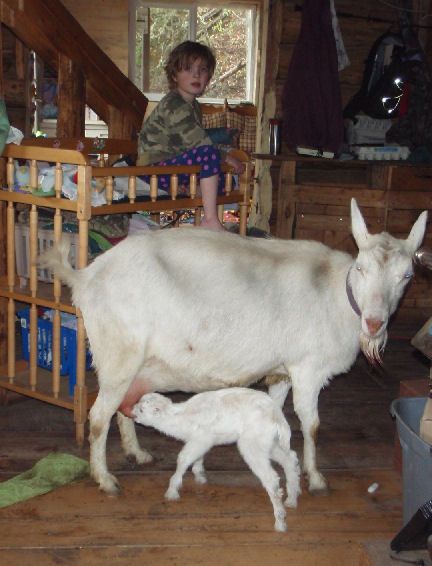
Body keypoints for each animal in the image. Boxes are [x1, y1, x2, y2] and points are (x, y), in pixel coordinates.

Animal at [38, 199, 426, 496]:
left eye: (407, 275)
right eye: (361, 268)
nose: (374, 323)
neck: (334, 293)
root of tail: (87, 277)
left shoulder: (281, 371)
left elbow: (276, 414)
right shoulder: (307, 368)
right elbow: (311, 424)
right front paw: (315, 479)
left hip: (133, 360)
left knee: (123, 408)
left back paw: (137, 453)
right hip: (118, 352)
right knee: (98, 416)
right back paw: (105, 479)